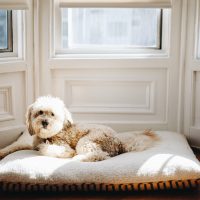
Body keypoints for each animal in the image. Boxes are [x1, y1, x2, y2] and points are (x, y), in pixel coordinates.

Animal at [0, 96, 159, 162]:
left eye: (52, 114)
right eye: (40, 112)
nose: (45, 122)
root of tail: (118, 141)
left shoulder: (64, 147)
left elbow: (48, 149)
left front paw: (47, 148)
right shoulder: (28, 144)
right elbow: (14, 146)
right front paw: (3, 152)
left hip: (87, 140)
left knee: (99, 155)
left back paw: (79, 158)